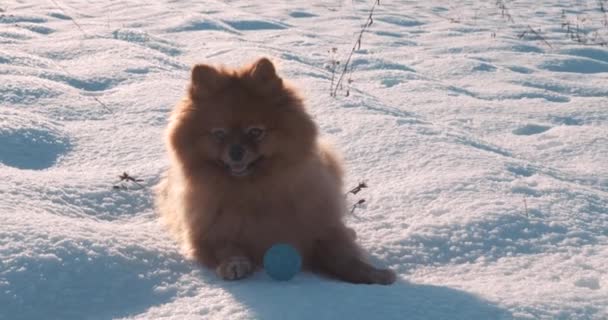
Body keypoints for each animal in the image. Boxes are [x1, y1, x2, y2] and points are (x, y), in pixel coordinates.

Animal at [154, 57, 396, 284]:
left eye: (255, 132)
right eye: (219, 134)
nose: (236, 152)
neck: (254, 191)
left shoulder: (318, 226)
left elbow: (342, 256)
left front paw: (373, 274)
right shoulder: (209, 233)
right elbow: (227, 247)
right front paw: (234, 264)